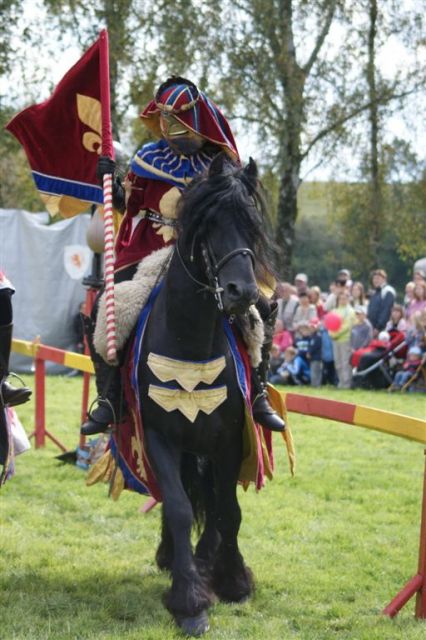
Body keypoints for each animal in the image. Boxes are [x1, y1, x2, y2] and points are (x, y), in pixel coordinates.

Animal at [138, 151, 274, 636]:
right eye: (210, 223)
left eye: (252, 224)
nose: (243, 292)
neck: (190, 338)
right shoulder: (160, 435)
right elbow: (179, 507)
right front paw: (189, 601)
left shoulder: (230, 437)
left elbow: (226, 509)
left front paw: (232, 580)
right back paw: (175, 558)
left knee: (214, 503)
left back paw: (206, 560)